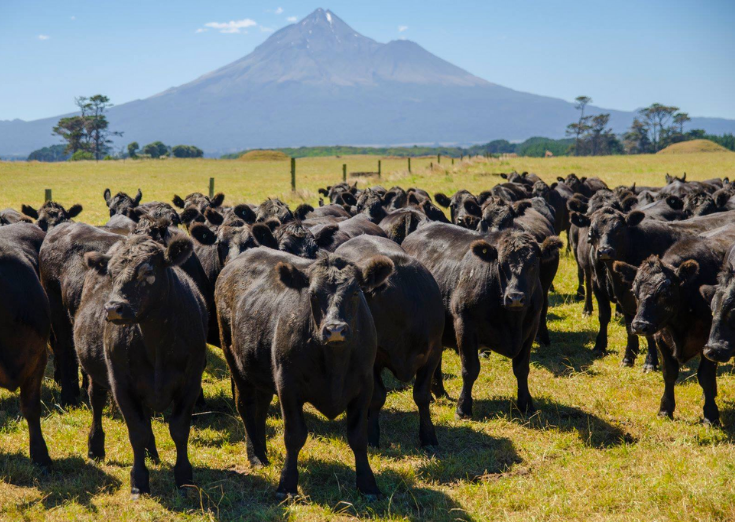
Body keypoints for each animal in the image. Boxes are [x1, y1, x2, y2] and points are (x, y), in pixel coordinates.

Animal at [216, 247, 394, 496]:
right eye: (313, 295)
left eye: (355, 293)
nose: (335, 330)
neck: (334, 364)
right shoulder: (287, 385)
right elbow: (294, 435)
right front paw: (287, 484)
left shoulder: (364, 385)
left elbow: (358, 437)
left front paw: (368, 485)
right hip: (234, 360)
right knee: (246, 407)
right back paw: (256, 456)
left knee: (260, 408)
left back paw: (262, 451)